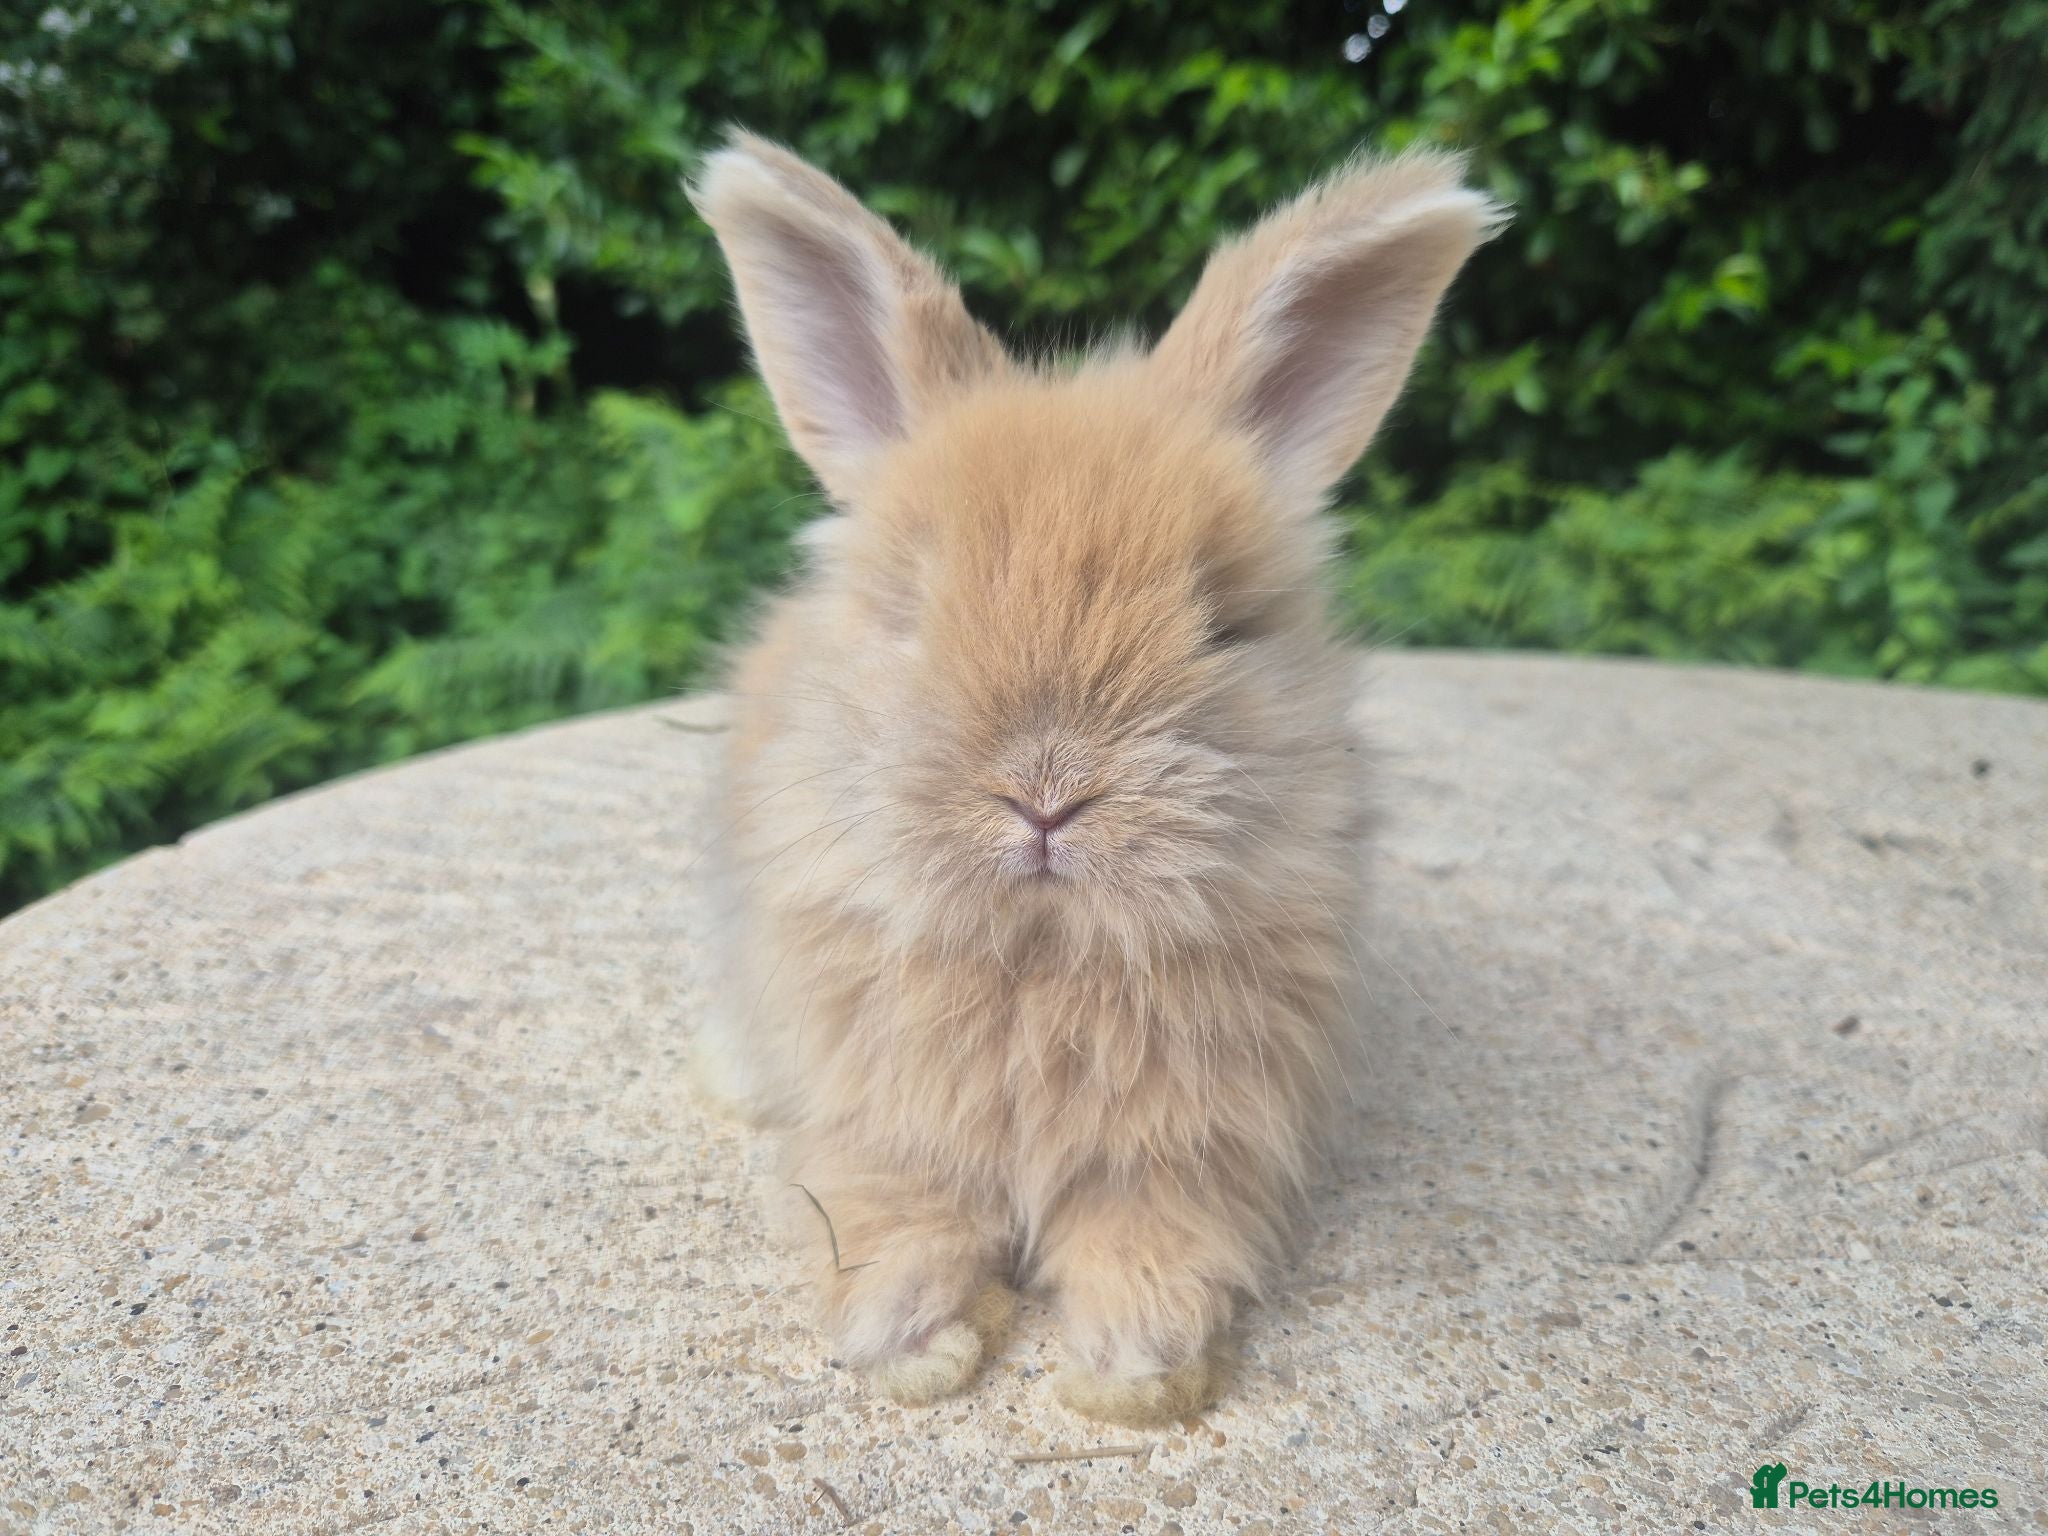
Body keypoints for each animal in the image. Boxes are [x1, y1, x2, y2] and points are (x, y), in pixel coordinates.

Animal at [687, 130, 1501, 1425]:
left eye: (1223, 623)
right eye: (908, 609)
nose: (1045, 796)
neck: (1041, 953)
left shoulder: (1185, 1150)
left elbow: (1146, 1240)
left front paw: (1133, 1374)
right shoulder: (880, 1124)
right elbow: (894, 1220)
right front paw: (914, 1348)